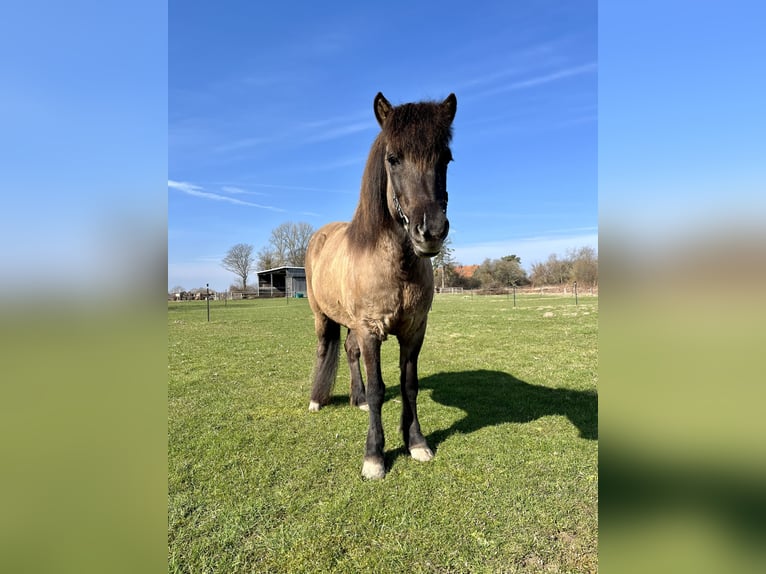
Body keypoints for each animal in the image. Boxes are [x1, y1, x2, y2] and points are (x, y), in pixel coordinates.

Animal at [305, 92, 457, 479]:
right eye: (393, 158)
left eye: (445, 159)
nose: (431, 231)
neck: (395, 264)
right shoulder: (370, 329)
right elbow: (378, 389)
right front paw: (374, 456)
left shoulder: (414, 331)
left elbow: (408, 385)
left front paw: (416, 442)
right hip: (323, 317)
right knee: (325, 349)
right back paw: (317, 399)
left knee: (349, 352)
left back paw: (355, 399)